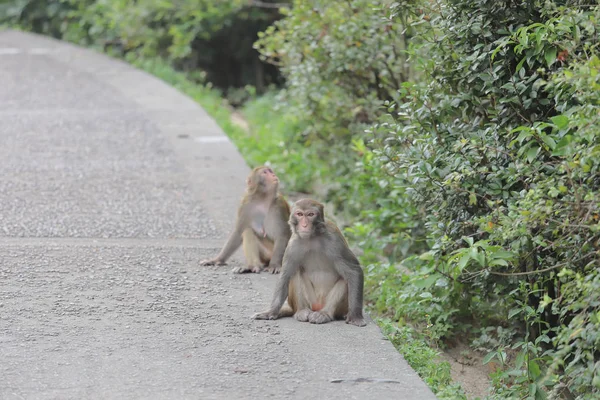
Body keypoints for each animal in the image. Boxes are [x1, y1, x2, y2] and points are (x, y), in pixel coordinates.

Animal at [252, 198, 366, 326]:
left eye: (311, 214)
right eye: (299, 214)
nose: (304, 225)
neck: (312, 238)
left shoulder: (335, 241)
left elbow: (354, 271)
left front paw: (355, 316)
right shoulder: (293, 245)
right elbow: (285, 276)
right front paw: (271, 312)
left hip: (337, 307)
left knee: (345, 280)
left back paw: (324, 314)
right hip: (309, 302)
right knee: (295, 272)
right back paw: (302, 311)